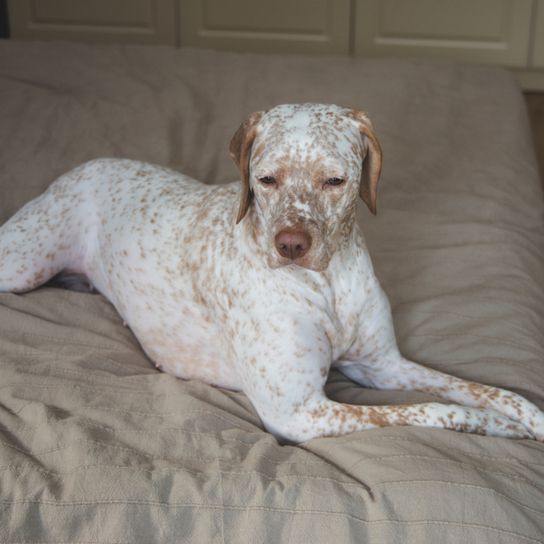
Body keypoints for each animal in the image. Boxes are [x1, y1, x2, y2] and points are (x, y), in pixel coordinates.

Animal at [1, 104, 544, 444]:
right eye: (265, 179)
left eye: (334, 180)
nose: (291, 245)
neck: (325, 282)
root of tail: (83, 166)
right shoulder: (299, 412)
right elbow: (431, 410)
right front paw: (498, 427)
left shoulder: (381, 365)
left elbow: (481, 390)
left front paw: (528, 416)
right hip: (22, 265)